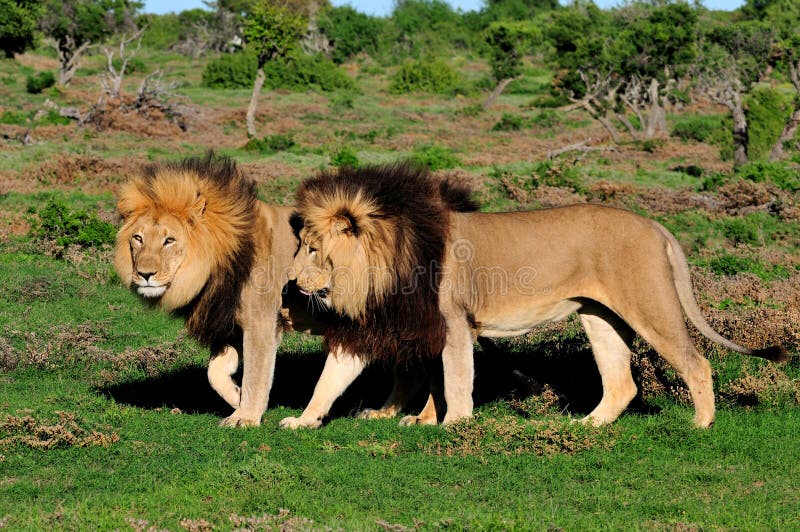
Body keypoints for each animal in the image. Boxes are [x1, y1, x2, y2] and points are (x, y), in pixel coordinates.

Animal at [286, 168, 788, 430]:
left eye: (310, 248)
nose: (290, 282)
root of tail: (654, 224)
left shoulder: (454, 324)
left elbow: (455, 380)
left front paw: (453, 426)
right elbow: (331, 380)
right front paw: (303, 422)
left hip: (649, 305)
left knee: (696, 362)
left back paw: (700, 424)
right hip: (599, 317)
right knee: (621, 382)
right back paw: (587, 427)